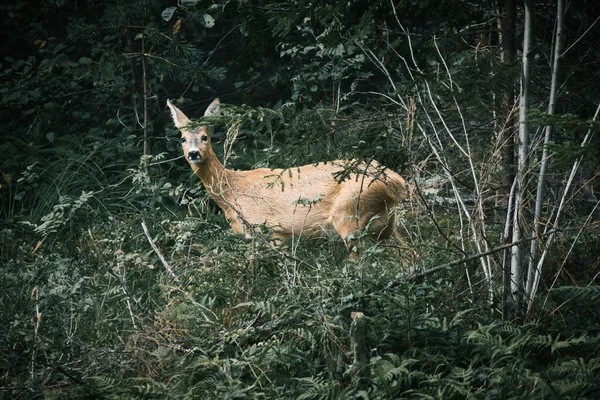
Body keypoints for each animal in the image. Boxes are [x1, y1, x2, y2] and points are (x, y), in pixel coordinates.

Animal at [166, 99, 408, 256]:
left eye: (205, 137)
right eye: (182, 139)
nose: (193, 153)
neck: (232, 191)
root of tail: (397, 182)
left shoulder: (269, 229)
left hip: (350, 214)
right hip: (385, 223)